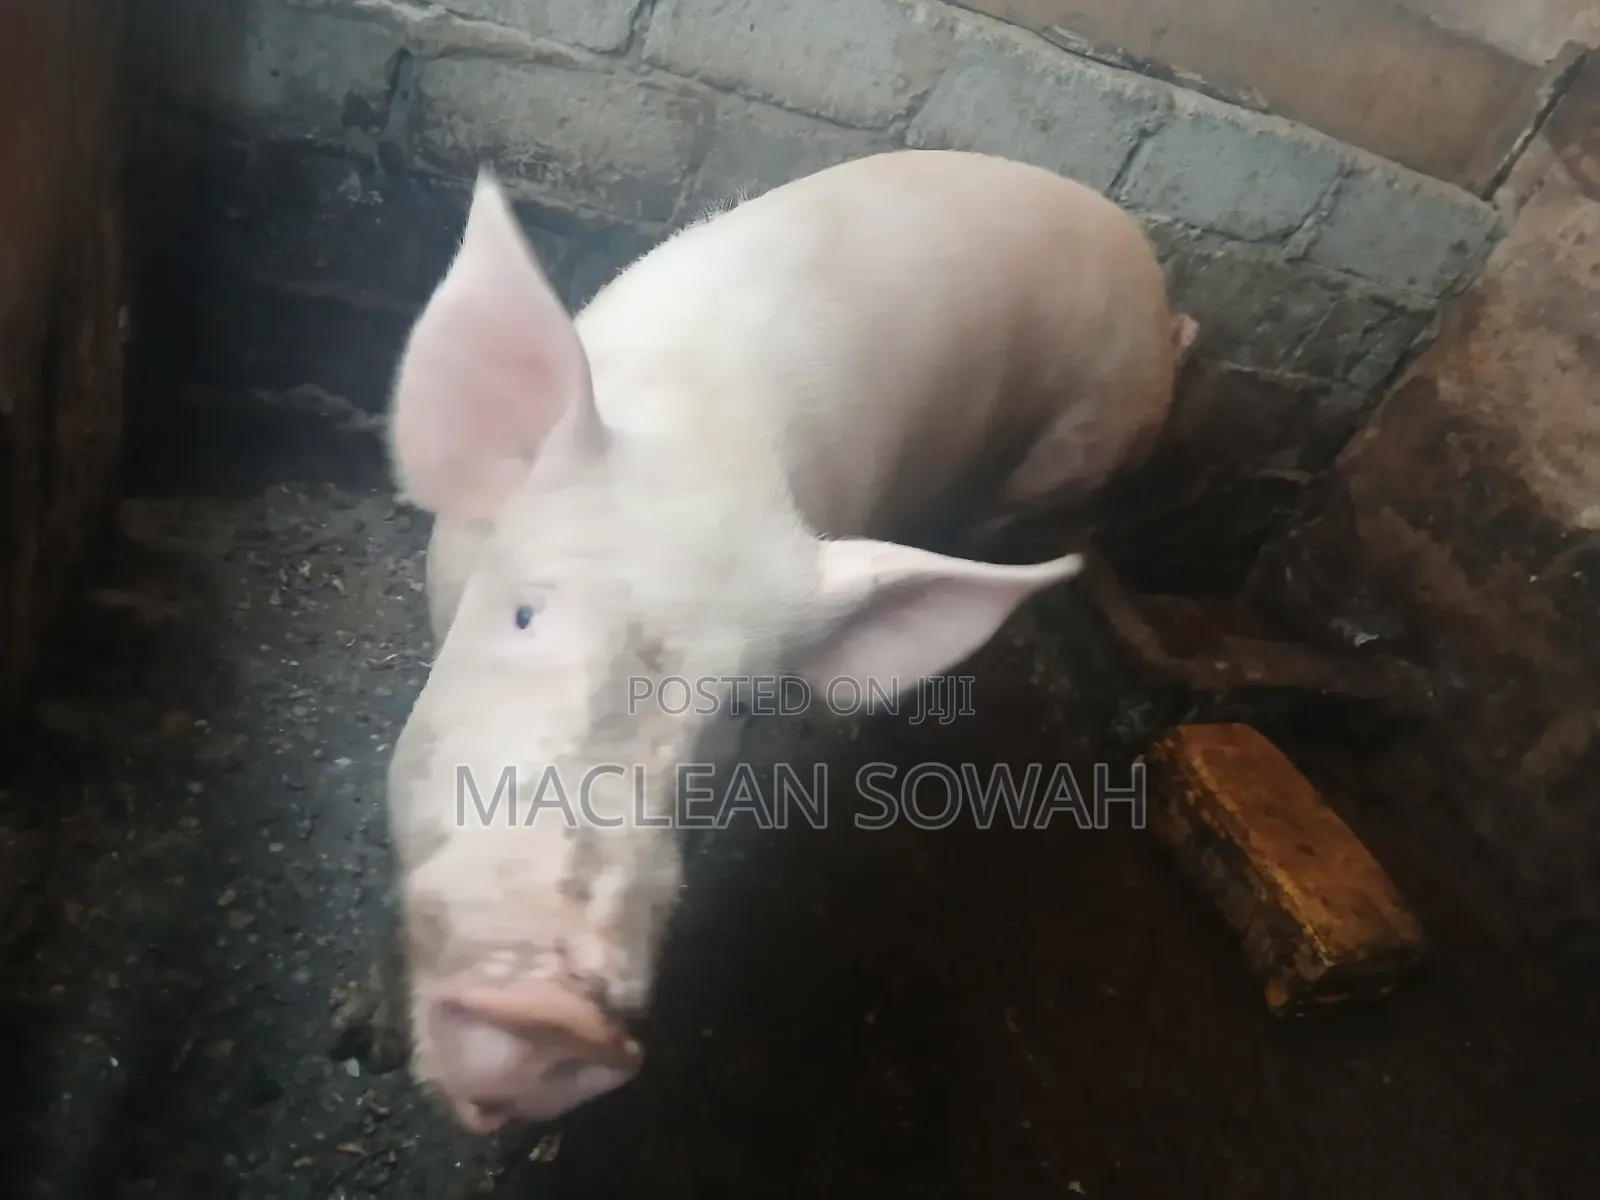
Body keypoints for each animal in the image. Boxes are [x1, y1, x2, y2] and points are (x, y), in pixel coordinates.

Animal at [378, 148, 1197, 1135]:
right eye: (525, 615)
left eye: (739, 708)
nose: (551, 1017)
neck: (710, 443)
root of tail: (1158, 294)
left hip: (1061, 471)